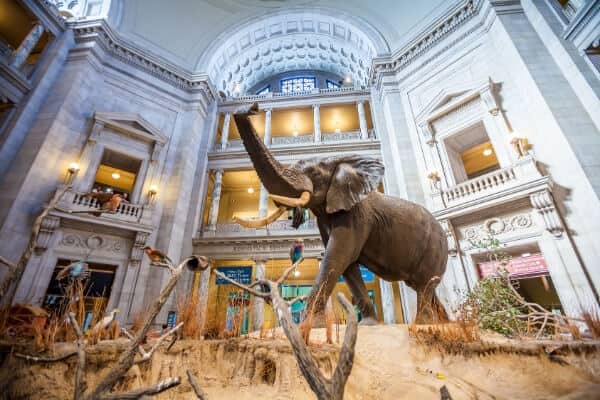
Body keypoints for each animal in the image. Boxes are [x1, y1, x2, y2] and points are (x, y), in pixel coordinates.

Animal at [232, 103, 448, 324]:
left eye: (314, 174)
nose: (252, 107)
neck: (336, 161)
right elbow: (348, 265)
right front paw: (368, 324)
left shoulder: (356, 215)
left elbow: (337, 255)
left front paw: (311, 325)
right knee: (425, 286)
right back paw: (445, 323)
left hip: (436, 247)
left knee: (425, 285)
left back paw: (423, 323)